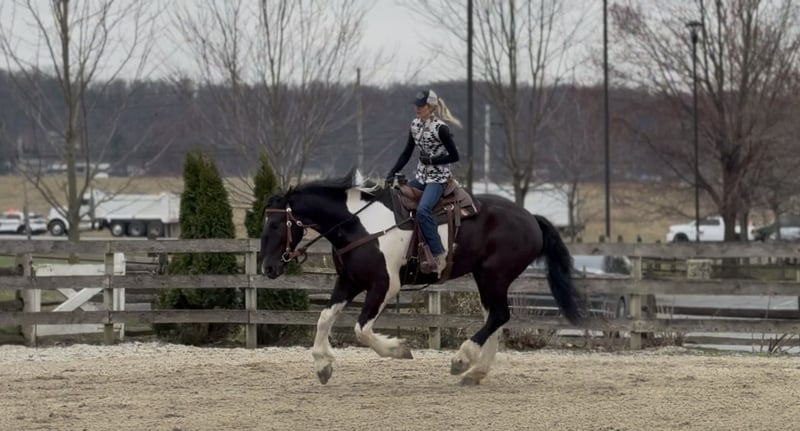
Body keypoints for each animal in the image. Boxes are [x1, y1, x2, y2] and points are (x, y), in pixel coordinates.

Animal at [260, 170, 586, 385]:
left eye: (275, 224)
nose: (267, 268)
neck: (357, 224)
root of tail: (531, 218)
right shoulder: (348, 282)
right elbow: (324, 319)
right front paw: (323, 366)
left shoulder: (384, 285)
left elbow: (361, 329)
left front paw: (399, 349)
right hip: (486, 278)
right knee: (494, 317)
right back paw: (476, 372)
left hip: (494, 275)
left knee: (499, 316)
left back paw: (462, 360)